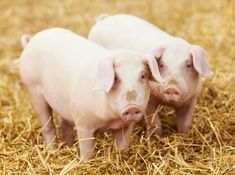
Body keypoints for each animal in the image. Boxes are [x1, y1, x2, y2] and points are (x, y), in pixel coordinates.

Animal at [19, 27, 163, 161]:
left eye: (143, 76)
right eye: (116, 77)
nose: (132, 107)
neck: (109, 119)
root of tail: (31, 40)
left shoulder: (125, 126)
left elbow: (122, 147)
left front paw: (121, 158)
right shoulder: (83, 122)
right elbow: (87, 150)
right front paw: (86, 162)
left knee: (64, 125)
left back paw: (69, 146)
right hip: (33, 89)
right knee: (48, 127)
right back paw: (52, 151)